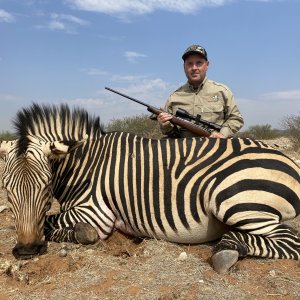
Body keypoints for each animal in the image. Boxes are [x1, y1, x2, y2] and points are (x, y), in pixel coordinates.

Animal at [0, 103, 298, 274]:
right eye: (6, 189)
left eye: (46, 186)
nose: (26, 251)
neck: (86, 162)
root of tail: (289, 162)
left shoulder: (96, 213)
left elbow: (55, 223)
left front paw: (79, 234)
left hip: (235, 201)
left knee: (290, 240)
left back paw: (227, 250)